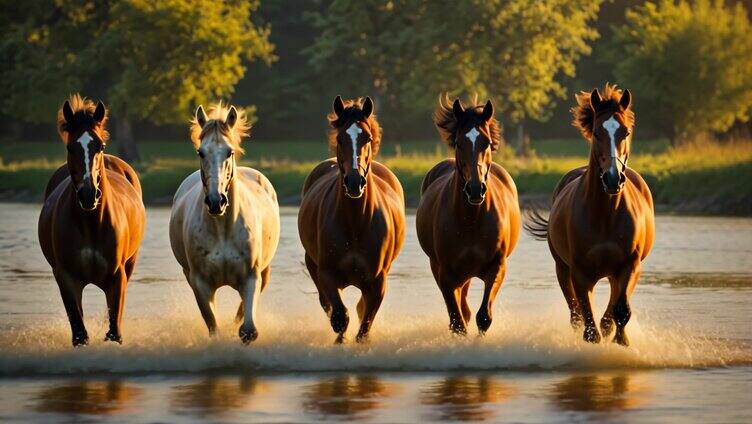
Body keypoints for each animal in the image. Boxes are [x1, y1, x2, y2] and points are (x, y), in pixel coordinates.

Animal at [37, 94, 147, 346]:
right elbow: (79, 332)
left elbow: (114, 331)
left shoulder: (117, 277)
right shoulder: (67, 278)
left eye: (100, 145)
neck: (91, 224)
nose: (89, 195)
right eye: (70, 146)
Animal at [169, 102, 280, 344]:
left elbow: (248, 330)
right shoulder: (200, 283)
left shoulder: (251, 277)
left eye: (229, 152)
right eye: (201, 152)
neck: (223, 230)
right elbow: (213, 327)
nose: (215, 201)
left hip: (264, 273)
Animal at [298, 97, 406, 344]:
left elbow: (364, 323)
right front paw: (340, 341)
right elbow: (340, 316)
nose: (354, 182)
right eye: (340, 138)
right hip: (312, 264)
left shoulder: (377, 281)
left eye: (367, 137)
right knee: (327, 304)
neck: (356, 223)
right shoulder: (327, 274)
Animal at [414, 96, 520, 334]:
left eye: (486, 142)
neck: (472, 219)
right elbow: (458, 322)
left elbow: (483, 317)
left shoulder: (497, 267)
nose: (475, 189)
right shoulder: (445, 272)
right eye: (459, 143)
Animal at [524, 84, 656, 346]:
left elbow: (619, 311)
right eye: (596, 132)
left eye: (625, 132)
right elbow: (588, 322)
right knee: (575, 314)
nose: (613, 178)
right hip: (562, 269)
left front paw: (621, 341)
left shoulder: (629, 267)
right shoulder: (580, 273)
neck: (605, 215)